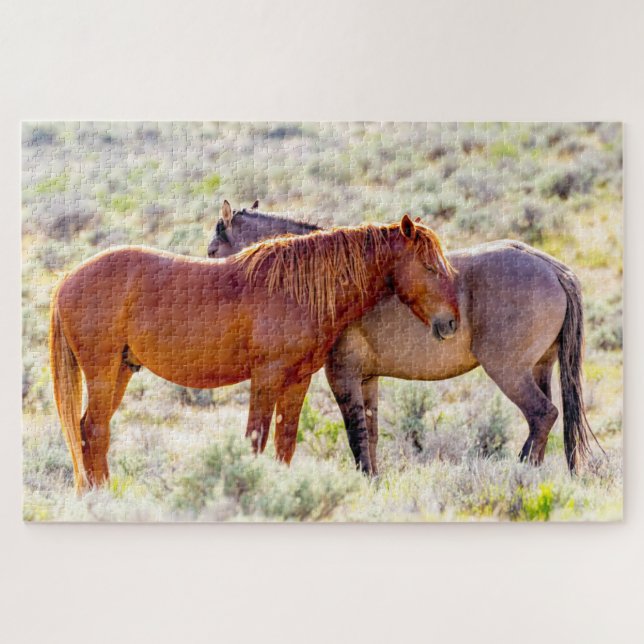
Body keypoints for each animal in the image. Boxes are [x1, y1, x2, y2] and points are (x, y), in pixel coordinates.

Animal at [50, 204, 459, 491]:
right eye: (429, 266)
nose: (451, 322)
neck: (298, 288)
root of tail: (68, 278)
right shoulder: (266, 378)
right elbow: (256, 439)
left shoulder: (297, 381)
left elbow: (284, 442)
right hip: (102, 373)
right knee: (95, 430)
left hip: (120, 371)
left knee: (90, 430)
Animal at [208, 202, 595, 474]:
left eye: (212, 252)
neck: (324, 278)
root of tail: (551, 268)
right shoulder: (367, 379)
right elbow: (371, 435)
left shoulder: (342, 375)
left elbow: (356, 436)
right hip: (540, 369)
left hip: (509, 372)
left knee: (542, 415)